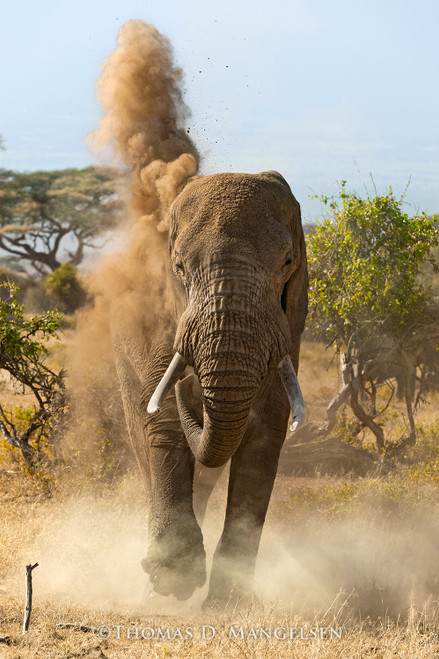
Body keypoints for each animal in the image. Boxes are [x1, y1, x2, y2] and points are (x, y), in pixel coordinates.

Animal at [113, 170, 308, 606]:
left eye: (288, 263)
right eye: (179, 267)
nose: (192, 389)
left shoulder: (289, 324)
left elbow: (265, 434)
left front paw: (227, 605)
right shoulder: (164, 318)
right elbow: (164, 419)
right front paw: (175, 580)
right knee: (143, 439)